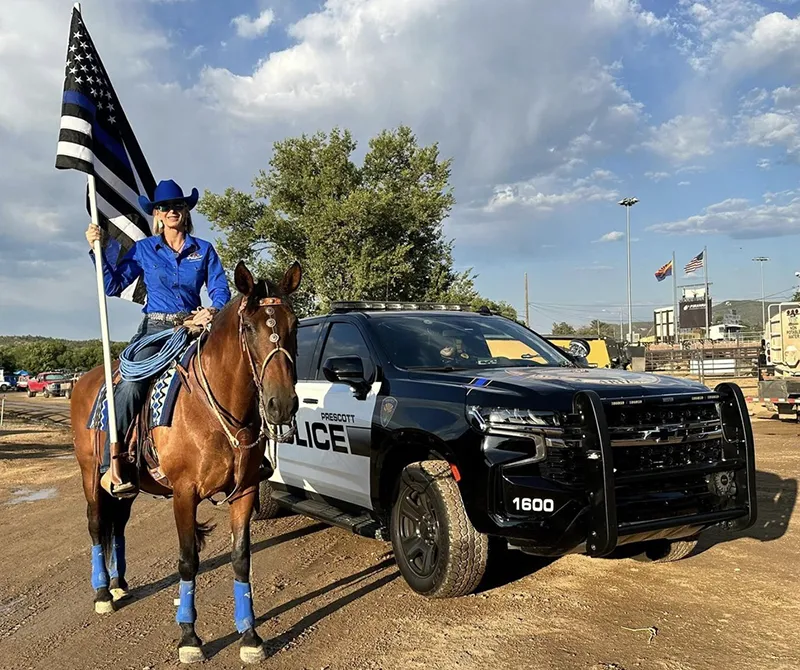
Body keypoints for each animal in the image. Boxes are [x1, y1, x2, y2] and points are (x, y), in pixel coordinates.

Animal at [70, 260, 302, 664]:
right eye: (249, 327)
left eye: (295, 324)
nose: (281, 404)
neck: (211, 409)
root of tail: (84, 380)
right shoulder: (184, 493)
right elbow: (188, 560)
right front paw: (189, 637)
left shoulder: (245, 491)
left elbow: (241, 558)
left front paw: (250, 636)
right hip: (90, 475)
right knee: (98, 525)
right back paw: (102, 594)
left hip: (128, 487)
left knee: (118, 526)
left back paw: (119, 584)